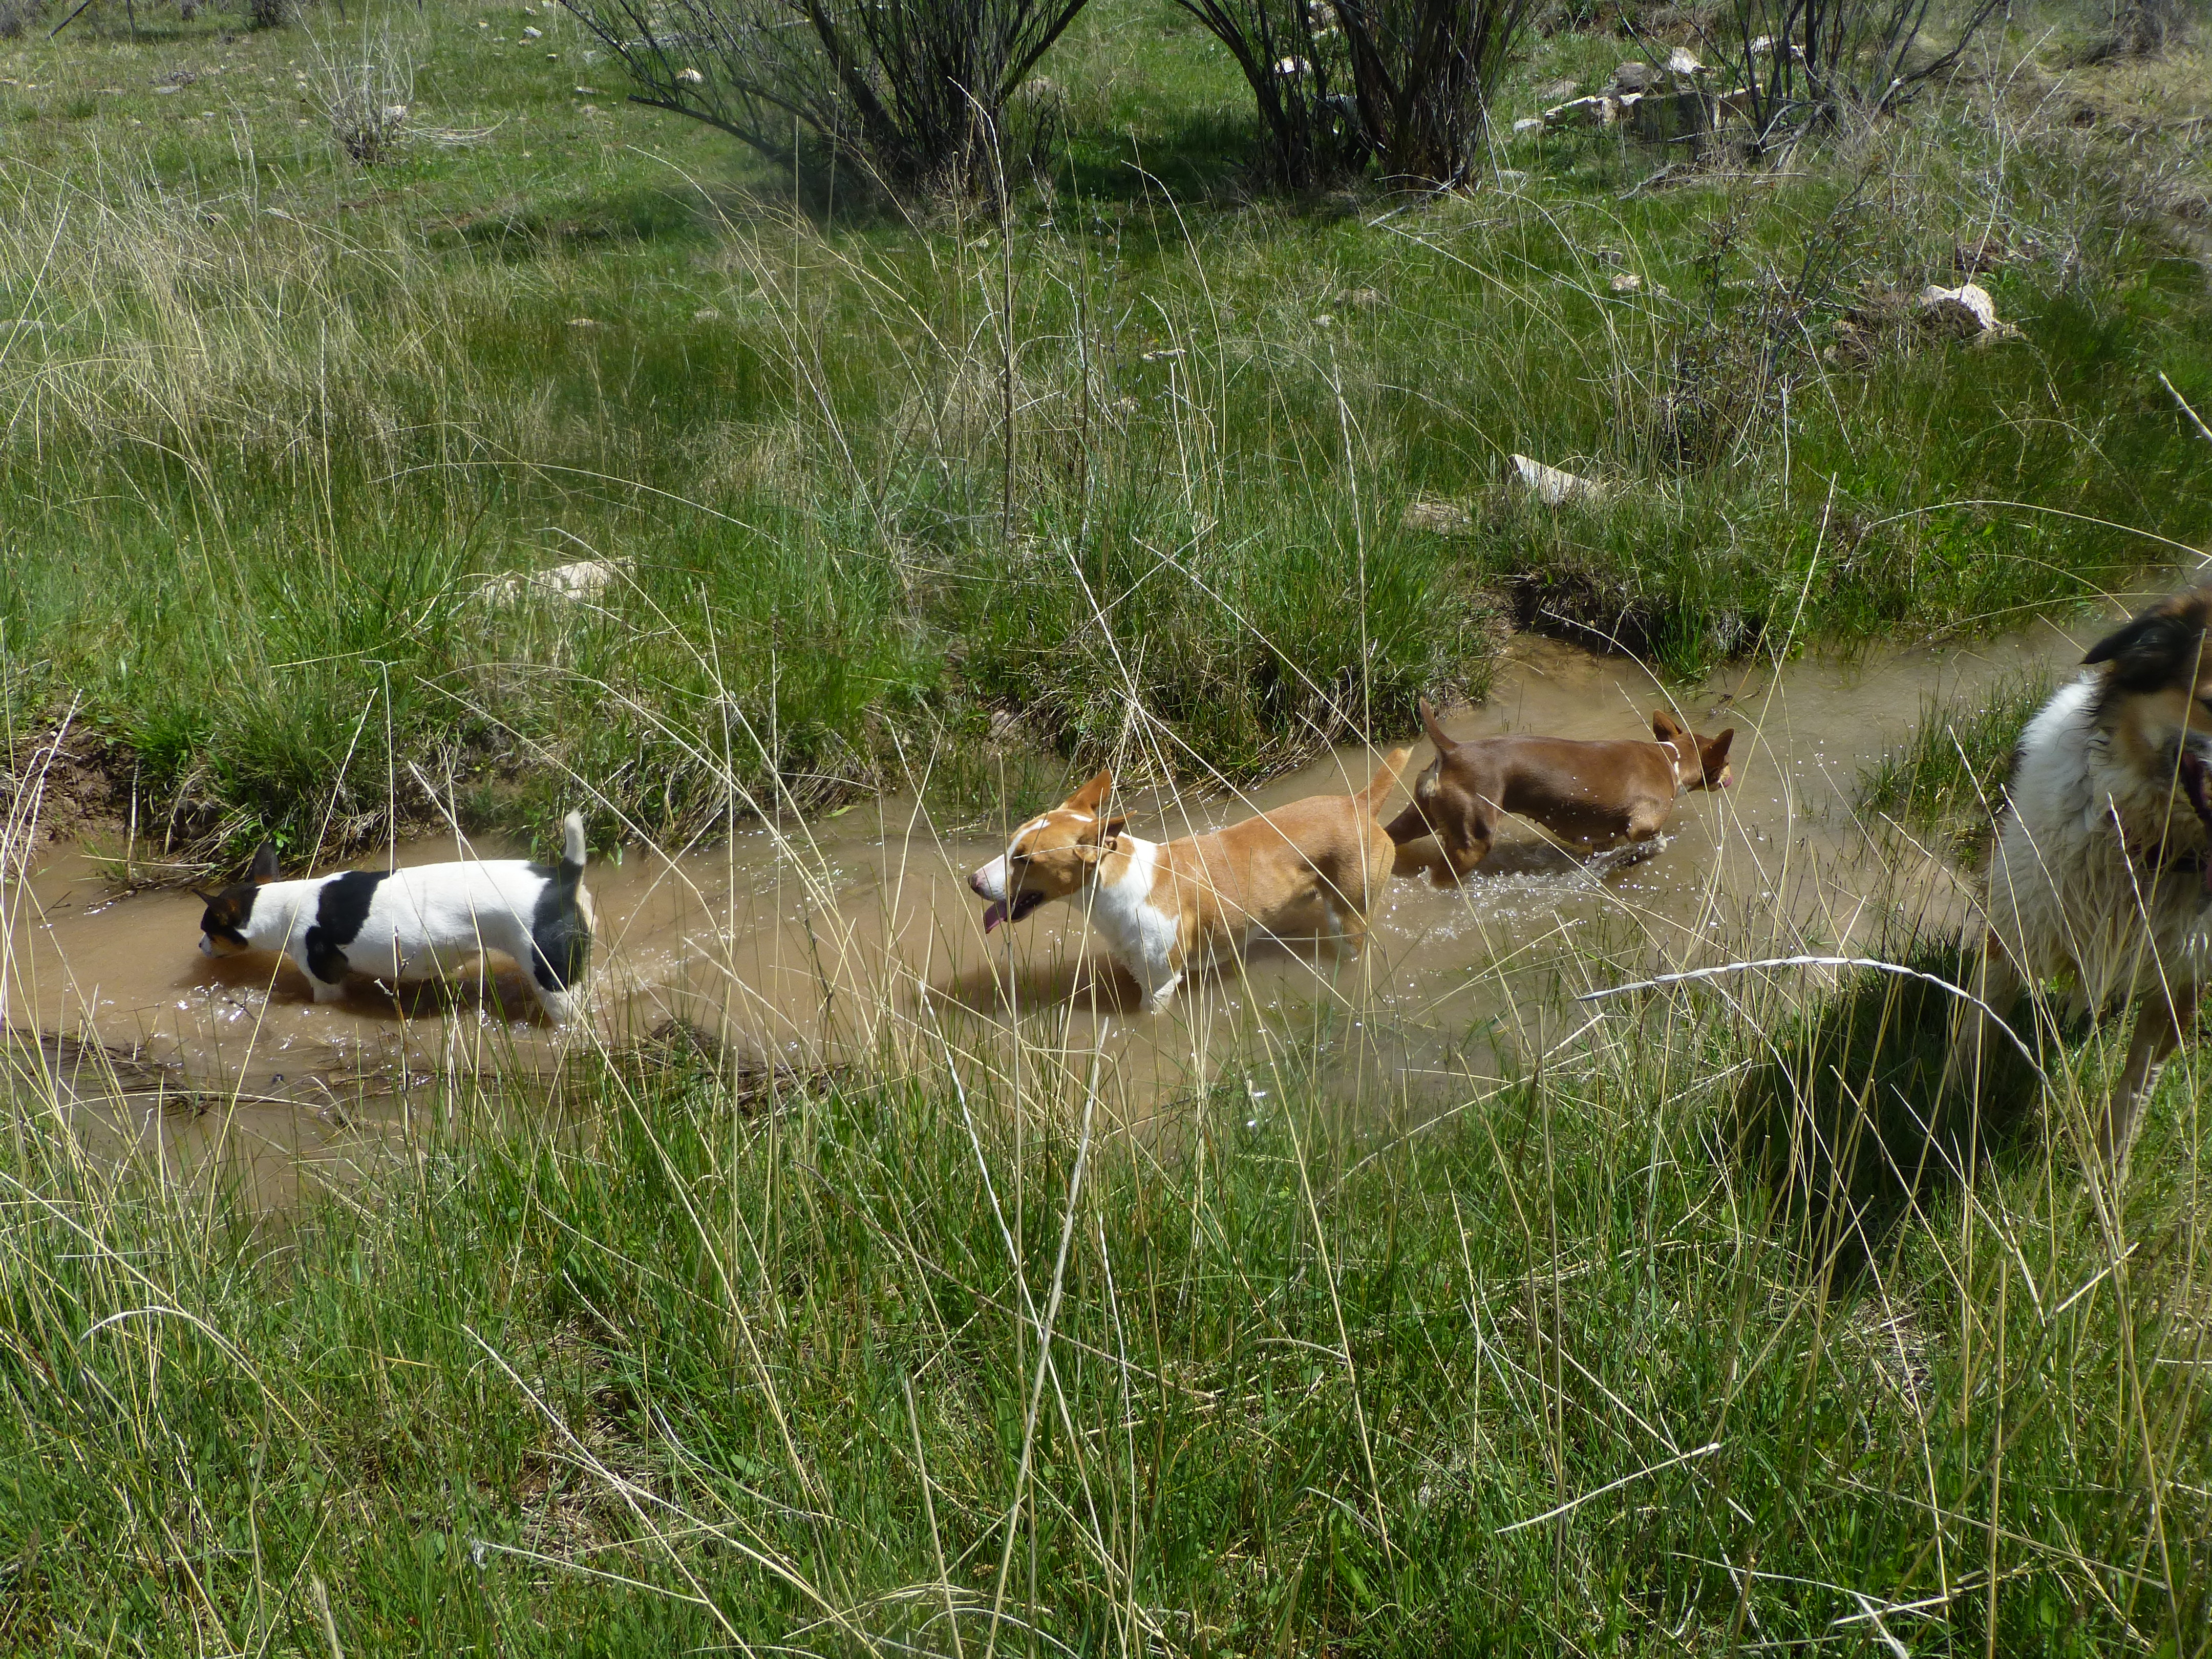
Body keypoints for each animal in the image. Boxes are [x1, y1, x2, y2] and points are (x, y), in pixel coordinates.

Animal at [194, 812, 593, 1022]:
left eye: (208, 931)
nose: (199, 946)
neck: (282, 904)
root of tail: (562, 877)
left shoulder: (326, 985)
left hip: (553, 982)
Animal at [966, 752, 1411, 1011]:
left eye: (1025, 859)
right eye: (1010, 845)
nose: (972, 880)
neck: (1121, 881)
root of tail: (1359, 803)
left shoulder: (1161, 986)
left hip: (1349, 921)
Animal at [1382, 698, 1734, 878]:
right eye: (1727, 760)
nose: (1730, 774)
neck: (1670, 758)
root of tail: (1452, 750)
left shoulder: (1602, 837)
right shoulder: (1640, 825)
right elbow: (1656, 844)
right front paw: (1632, 859)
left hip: (1419, 817)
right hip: (1473, 841)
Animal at [1947, 586, 2212, 1161]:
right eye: (2210, 703)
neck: (2151, 850)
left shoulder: (2181, 985)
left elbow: (2134, 1091)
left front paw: (2110, 1173)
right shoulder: (2016, 924)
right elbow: (1977, 1033)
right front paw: (1952, 1118)